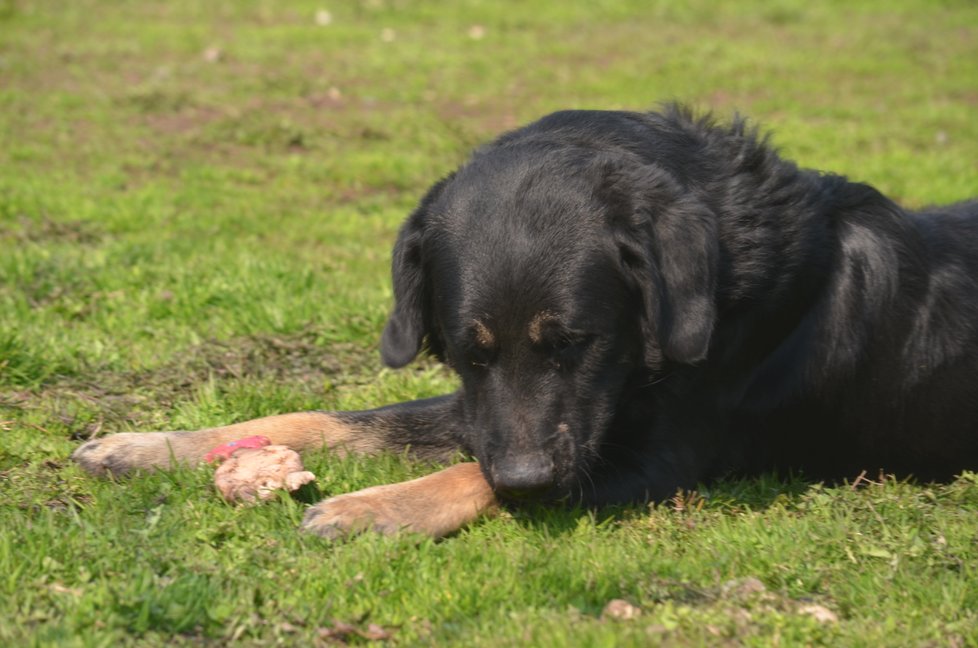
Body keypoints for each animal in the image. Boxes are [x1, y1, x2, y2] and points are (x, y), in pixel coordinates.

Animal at [72, 107, 976, 536]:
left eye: (576, 343)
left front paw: (373, 509)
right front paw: (150, 447)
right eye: (467, 354)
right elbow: (322, 416)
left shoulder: (659, 454)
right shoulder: (483, 407)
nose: (527, 479)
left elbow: (469, 473)